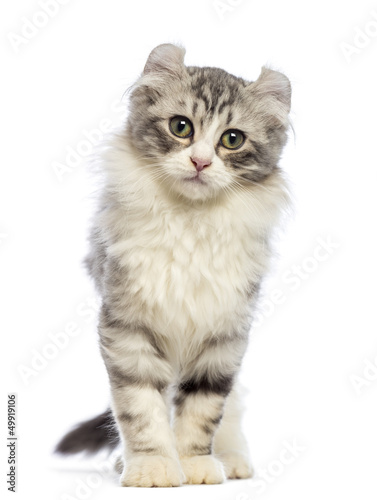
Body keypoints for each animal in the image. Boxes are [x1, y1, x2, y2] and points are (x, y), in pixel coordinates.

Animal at [55, 44, 290, 488]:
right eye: (181, 128)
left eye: (232, 139)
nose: (200, 162)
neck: (190, 221)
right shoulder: (127, 328)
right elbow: (140, 409)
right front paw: (152, 467)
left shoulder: (224, 336)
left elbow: (203, 409)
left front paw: (195, 464)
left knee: (231, 408)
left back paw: (231, 458)